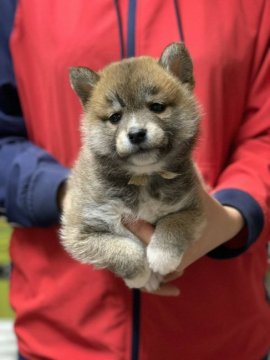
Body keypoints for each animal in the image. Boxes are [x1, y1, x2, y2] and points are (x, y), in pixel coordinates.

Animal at [60, 43, 205, 290]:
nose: (136, 133)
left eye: (157, 107)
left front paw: (161, 255)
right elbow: (122, 249)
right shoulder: (79, 230)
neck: (143, 177)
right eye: (115, 117)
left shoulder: (194, 207)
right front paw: (139, 274)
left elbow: (174, 222)